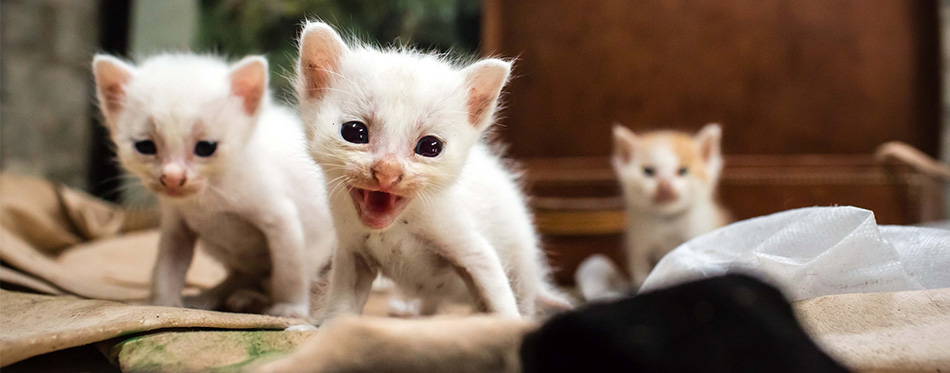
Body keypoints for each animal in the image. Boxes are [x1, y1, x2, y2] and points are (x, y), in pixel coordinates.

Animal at [93, 52, 336, 316]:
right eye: (145, 146)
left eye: (206, 148)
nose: (173, 178)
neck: (209, 196)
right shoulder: (177, 225)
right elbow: (167, 266)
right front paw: (163, 302)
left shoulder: (283, 220)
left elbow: (290, 270)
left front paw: (289, 308)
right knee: (245, 274)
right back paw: (217, 296)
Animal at [294, 21, 568, 318]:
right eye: (354, 132)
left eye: (430, 146)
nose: (387, 171)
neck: (396, 228)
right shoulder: (351, 251)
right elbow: (341, 307)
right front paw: (321, 325)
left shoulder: (474, 249)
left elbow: (498, 297)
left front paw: (508, 323)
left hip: (522, 261)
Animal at [608, 123, 728, 286]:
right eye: (648, 171)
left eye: (683, 171)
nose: (664, 186)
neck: (668, 221)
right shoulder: (638, 240)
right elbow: (640, 269)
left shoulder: (699, 232)